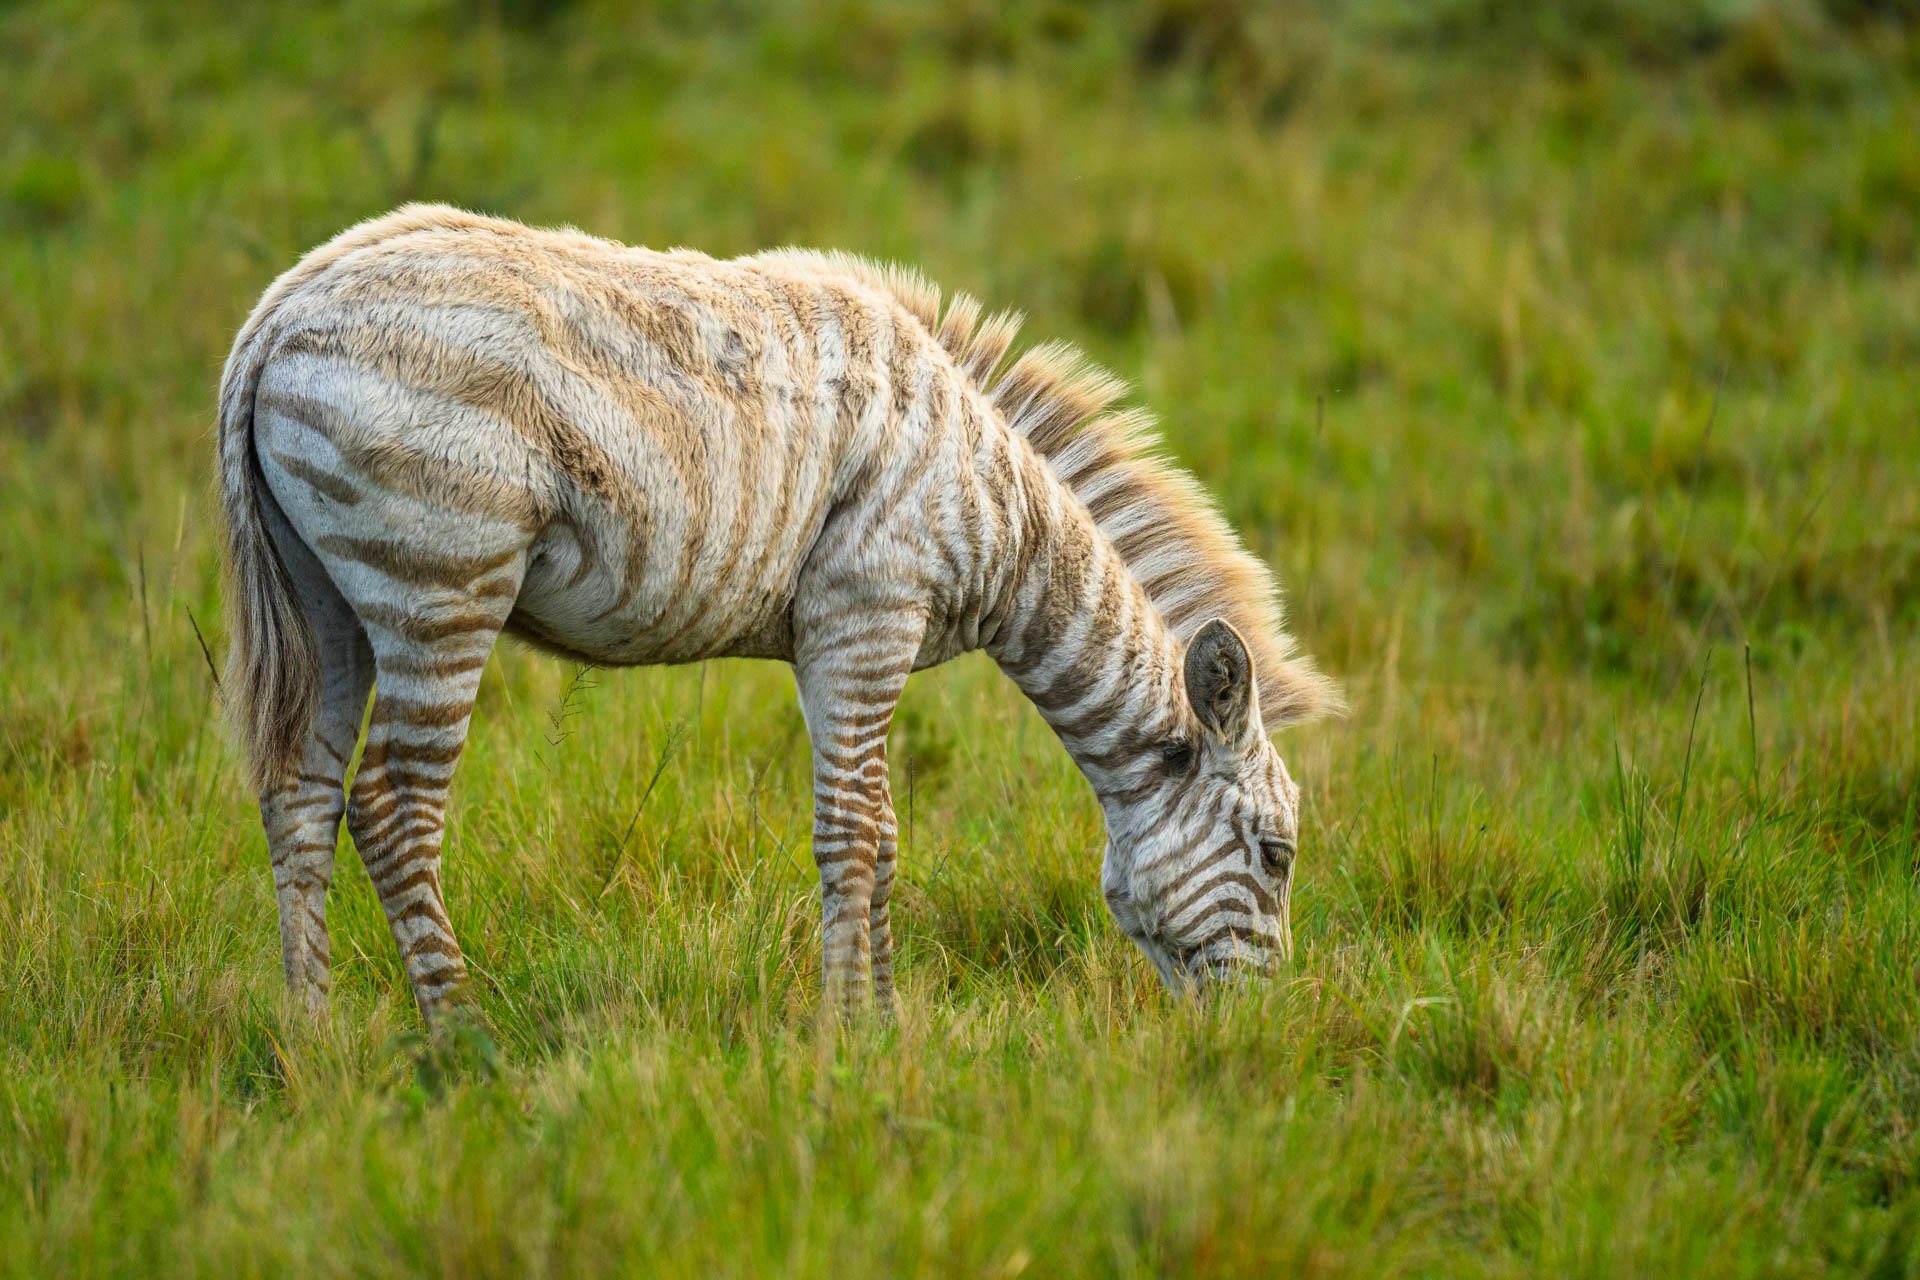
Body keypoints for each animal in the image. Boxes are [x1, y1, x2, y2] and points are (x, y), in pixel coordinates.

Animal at [217, 205, 1341, 1020]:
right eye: (1277, 855)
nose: (1258, 1036)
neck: (998, 508)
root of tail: (276, 310)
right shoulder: (867, 612)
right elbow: (854, 831)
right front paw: (850, 1035)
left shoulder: (837, 640)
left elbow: (881, 835)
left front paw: (882, 1018)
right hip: (439, 583)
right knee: (393, 806)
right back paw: (462, 1039)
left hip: (330, 598)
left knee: (301, 795)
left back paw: (316, 1041)